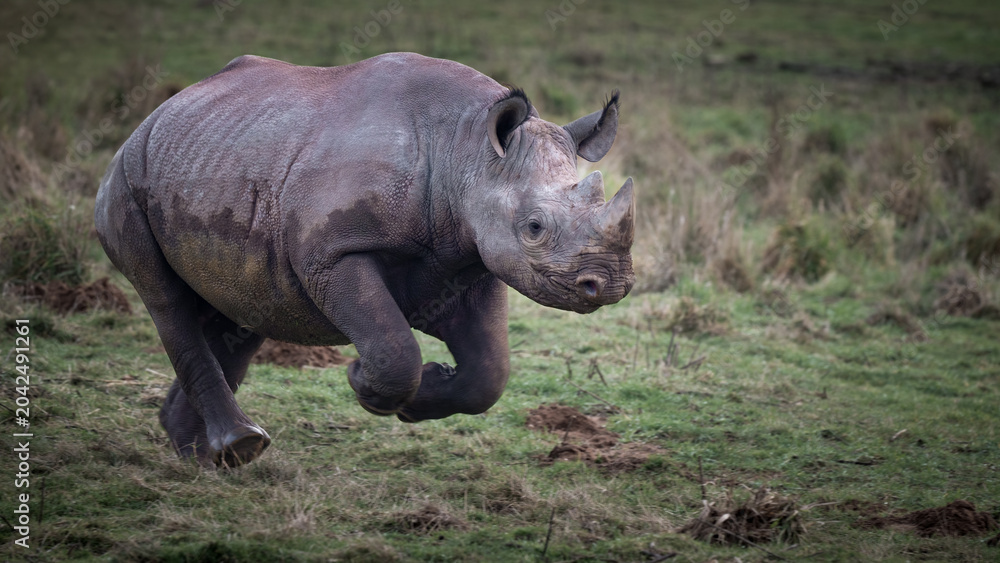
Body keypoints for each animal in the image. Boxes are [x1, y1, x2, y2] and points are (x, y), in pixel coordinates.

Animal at [95, 52, 635, 467]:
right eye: (534, 227)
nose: (609, 284)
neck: (465, 149)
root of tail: (160, 111)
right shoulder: (332, 254)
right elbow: (395, 350)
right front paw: (364, 382)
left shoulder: (469, 261)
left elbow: (489, 371)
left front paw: (421, 396)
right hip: (127, 179)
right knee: (166, 302)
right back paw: (239, 445)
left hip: (217, 159)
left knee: (243, 312)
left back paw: (205, 456)